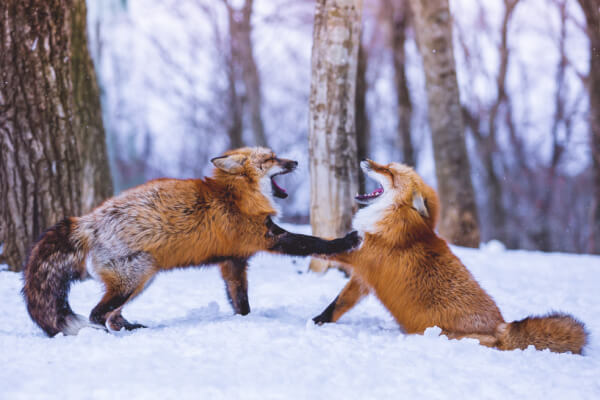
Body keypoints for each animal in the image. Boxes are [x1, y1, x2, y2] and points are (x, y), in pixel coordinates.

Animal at [22, 147, 360, 338]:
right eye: (271, 159)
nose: (296, 161)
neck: (237, 195)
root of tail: (86, 221)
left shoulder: (233, 261)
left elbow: (241, 301)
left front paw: (244, 321)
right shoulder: (268, 238)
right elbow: (313, 242)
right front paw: (346, 240)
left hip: (142, 279)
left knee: (111, 315)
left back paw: (132, 328)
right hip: (137, 275)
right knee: (96, 314)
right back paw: (111, 334)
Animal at [312, 159, 588, 354]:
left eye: (389, 171)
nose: (365, 160)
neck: (399, 221)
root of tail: (501, 326)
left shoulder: (362, 255)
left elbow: (320, 245)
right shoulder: (363, 277)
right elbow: (338, 304)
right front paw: (317, 322)